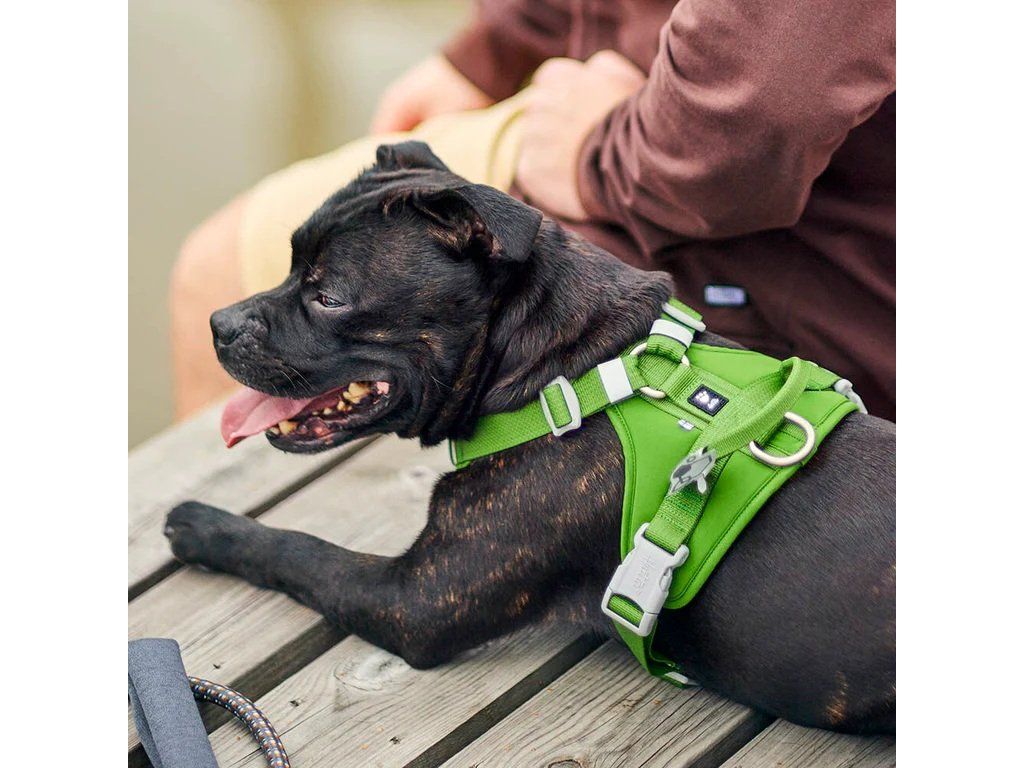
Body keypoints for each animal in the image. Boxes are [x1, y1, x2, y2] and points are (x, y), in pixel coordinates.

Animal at [165, 141, 896, 734]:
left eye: (328, 297)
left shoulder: (414, 599)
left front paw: (204, 526)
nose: (220, 324)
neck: (565, 367)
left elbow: (302, 551)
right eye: (291, 268)